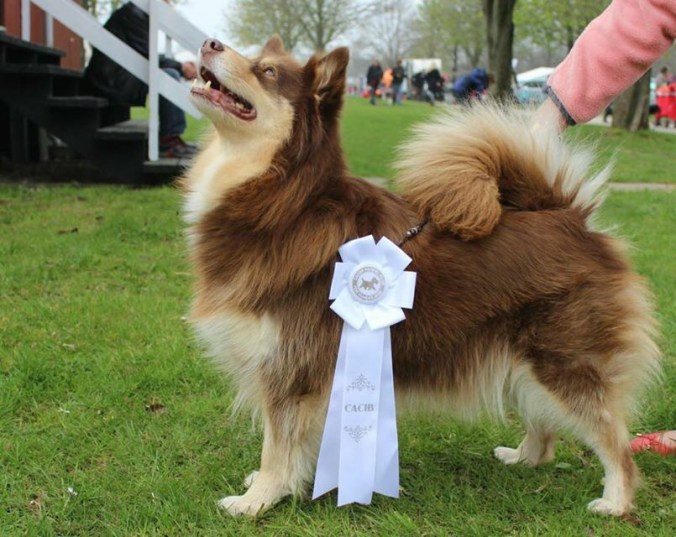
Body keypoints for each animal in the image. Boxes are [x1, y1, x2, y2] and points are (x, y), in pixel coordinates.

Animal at [181, 36, 661, 517]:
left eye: (267, 72)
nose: (209, 43)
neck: (286, 202)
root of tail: (570, 219)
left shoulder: (288, 368)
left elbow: (277, 445)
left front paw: (257, 500)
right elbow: (284, 443)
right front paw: (269, 487)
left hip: (563, 363)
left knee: (613, 439)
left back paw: (616, 502)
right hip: (518, 361)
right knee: (546, 436)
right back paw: (523, 457)